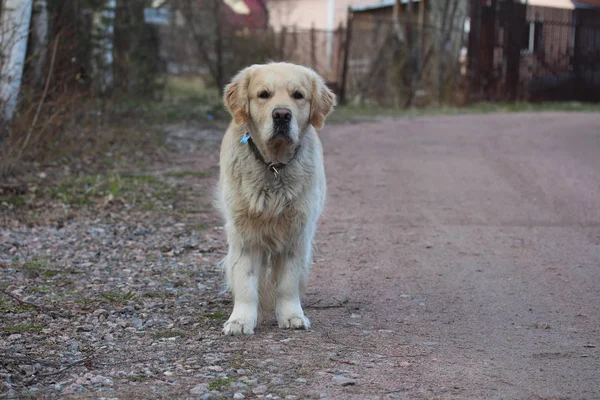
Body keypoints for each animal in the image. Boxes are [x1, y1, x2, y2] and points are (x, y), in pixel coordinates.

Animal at [216, 61, 338, 334]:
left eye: (298, 95)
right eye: (263, 94)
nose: (282, 115)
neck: (274, 165)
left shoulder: (297, 234)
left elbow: (287, 283)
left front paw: (292, 315)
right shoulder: (244, 234)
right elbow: (246, 280)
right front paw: (240, 320)